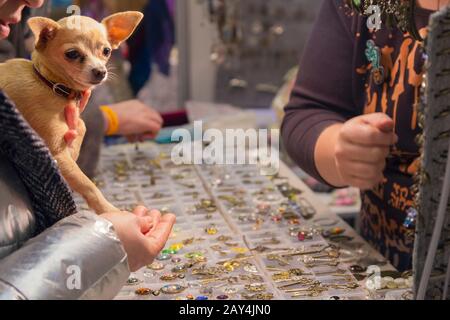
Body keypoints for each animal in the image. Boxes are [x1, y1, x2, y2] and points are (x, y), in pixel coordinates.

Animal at [0, 11, 142, 214]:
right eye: (72, 54)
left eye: (106, 51)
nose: (100, 71)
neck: (48, 83)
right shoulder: (55, 153)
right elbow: (88, 184)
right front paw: (110, 211)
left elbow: (81, 127)